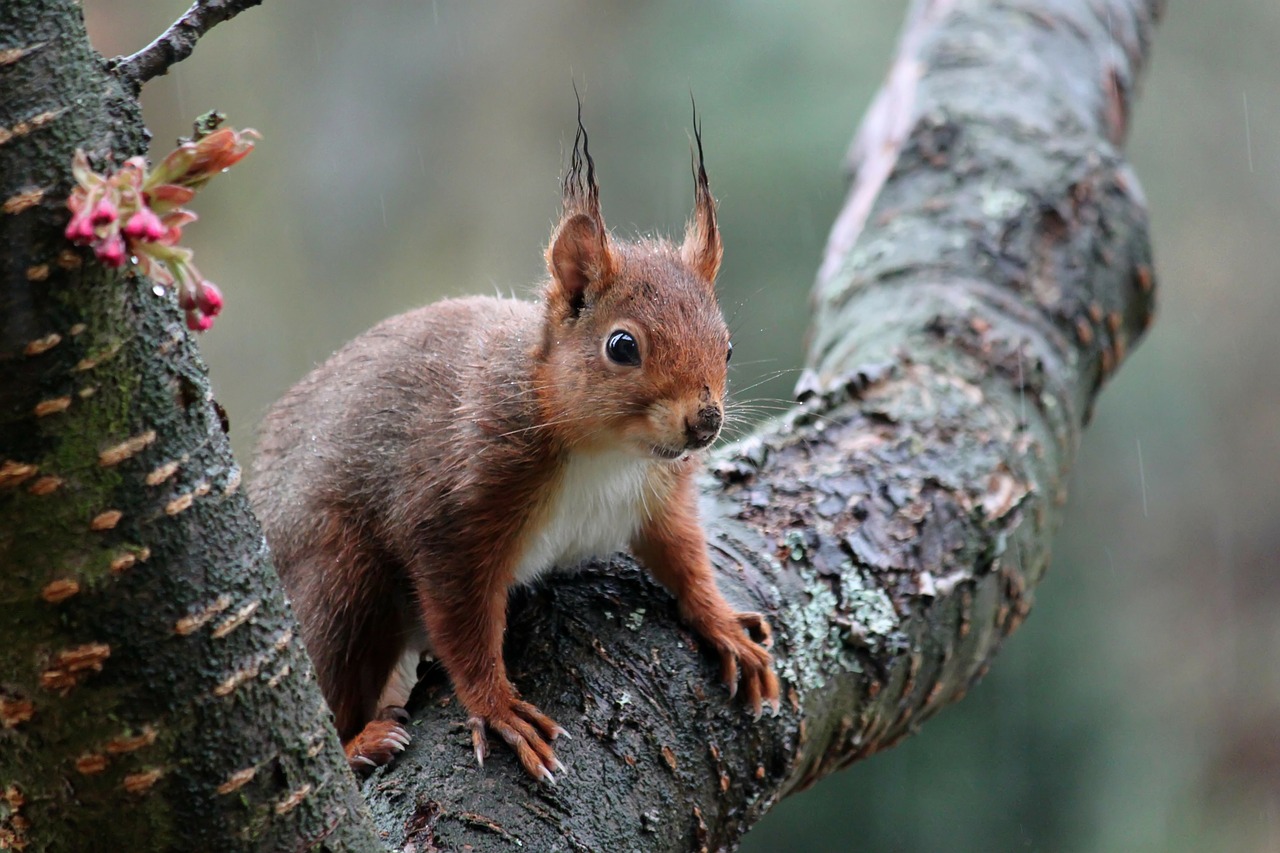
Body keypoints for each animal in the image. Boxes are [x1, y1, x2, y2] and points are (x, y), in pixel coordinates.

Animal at [244, 109, 773, 778]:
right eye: (622, 346)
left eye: (727, 347)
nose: (705, 423)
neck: (607, 454)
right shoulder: (456, 506)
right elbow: (462, 622)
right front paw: (497, 707)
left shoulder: (659, 496)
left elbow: (683, 555)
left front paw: (722, 622)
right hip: (336, 573)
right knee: (328, 676)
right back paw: (360, 742)